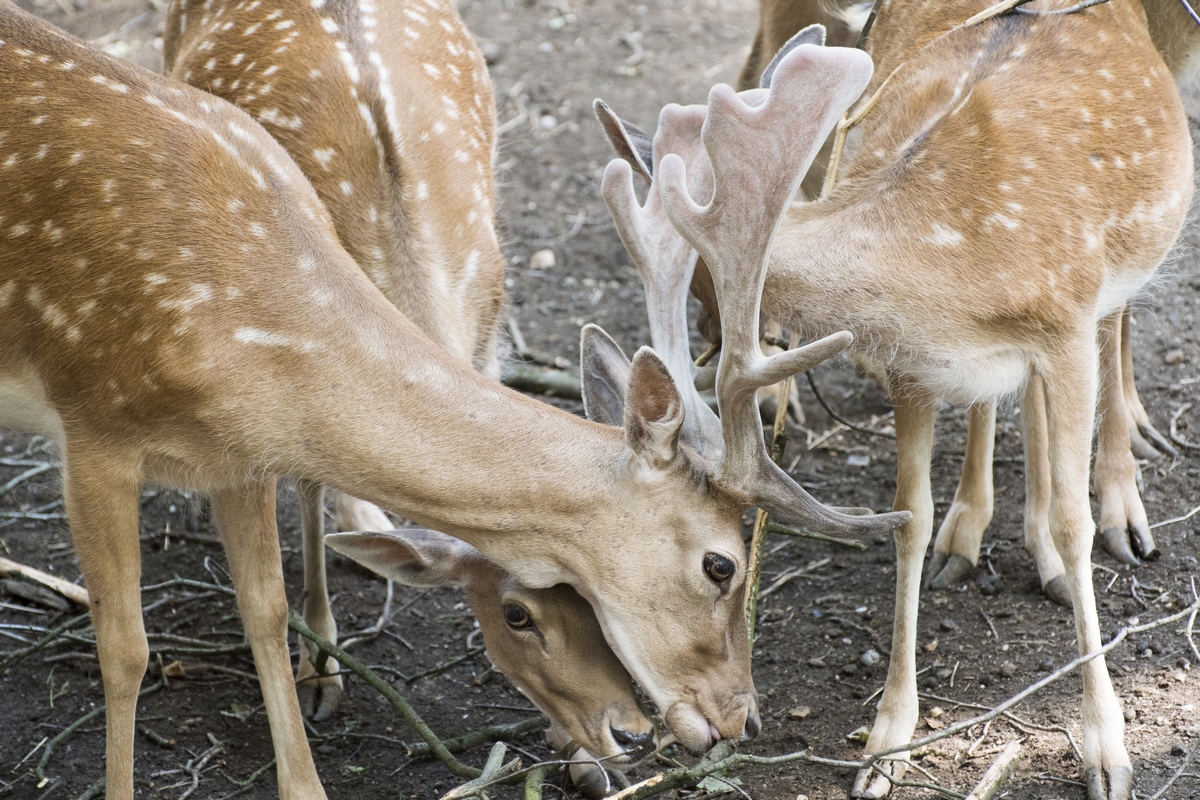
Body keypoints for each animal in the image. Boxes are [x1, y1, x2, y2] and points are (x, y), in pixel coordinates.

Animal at [595, 3, 1195, 796]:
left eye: (719, 568)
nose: (704, 338)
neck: (955, 256)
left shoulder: (1064, 325)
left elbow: (1075, 522)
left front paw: (1107, 748)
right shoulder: (912, 365)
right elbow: (911, 519)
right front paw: (886, 742)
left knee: (1115, 333)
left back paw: (1117, 515)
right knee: (999, 410)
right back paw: (984, 538)